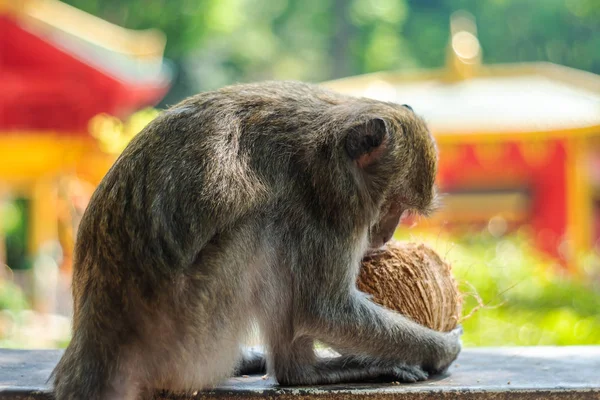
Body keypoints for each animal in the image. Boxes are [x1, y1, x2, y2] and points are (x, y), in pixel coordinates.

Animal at [51, 79, 462, 398]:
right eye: (392, 205)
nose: (386, 235)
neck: (329, 149)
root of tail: (92, 348)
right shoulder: (327, 209)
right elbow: (322, 310)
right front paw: (441, 348)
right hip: (187, 342)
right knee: (263, 226)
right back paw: (302, 372)